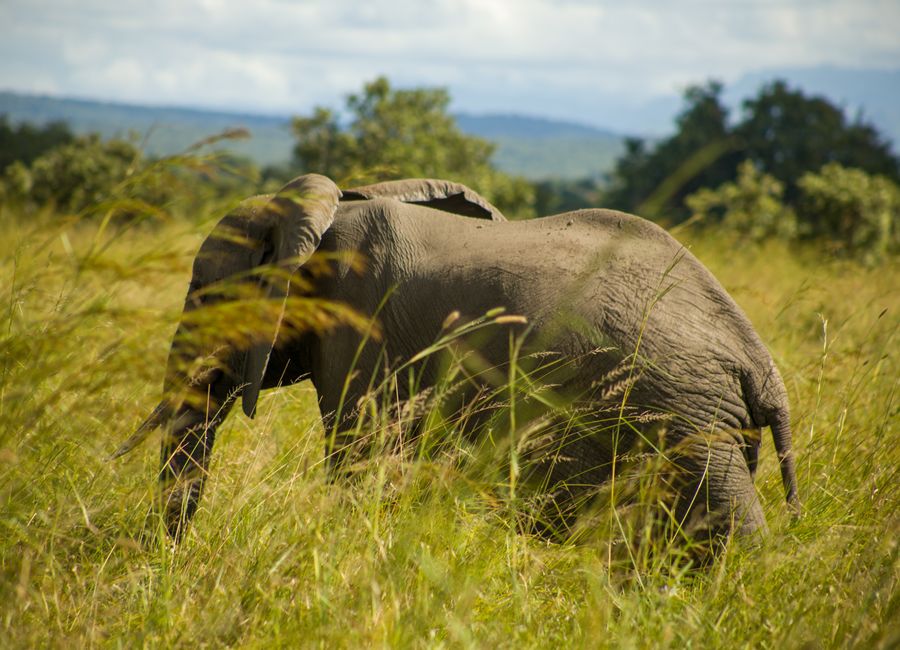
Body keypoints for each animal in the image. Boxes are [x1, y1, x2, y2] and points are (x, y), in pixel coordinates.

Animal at [121, 173, 799, 544]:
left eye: (203, 291)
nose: (172, 560)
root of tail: (758, 362)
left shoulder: (362, 323)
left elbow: (359, 458)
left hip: (683, 418)